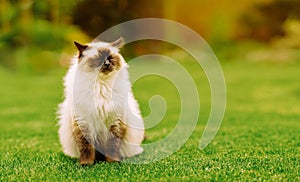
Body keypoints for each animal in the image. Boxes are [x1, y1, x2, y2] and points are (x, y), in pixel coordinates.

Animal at [57, 37, 145, 165]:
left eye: (110, 58)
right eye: (99, 58)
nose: (107, 64)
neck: (101, 85)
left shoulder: (115, 123)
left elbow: (112, 147)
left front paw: (112, 162)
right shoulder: (84, 124)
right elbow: (86, 148)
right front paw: (86, 164)